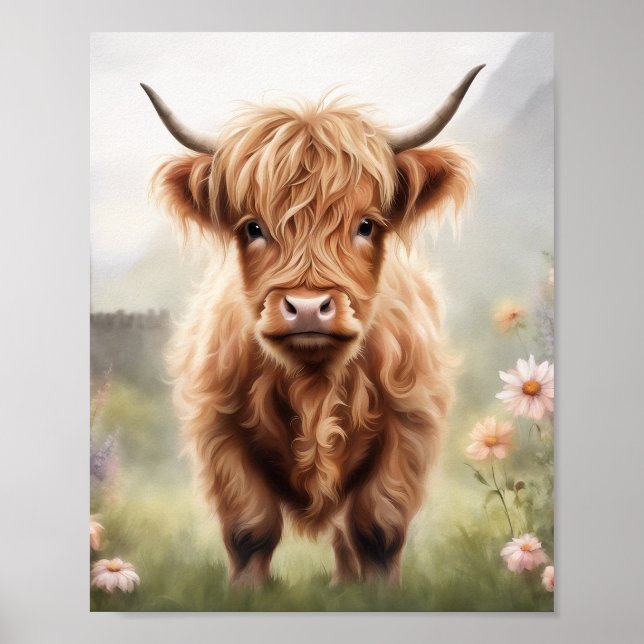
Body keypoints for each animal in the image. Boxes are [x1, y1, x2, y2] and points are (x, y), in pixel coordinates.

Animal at [142, 65, 483, 587]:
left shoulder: (409, 425)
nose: (306, 308)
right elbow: (250, 529)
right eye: (253, 227)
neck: (313, 383)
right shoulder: (219, 428)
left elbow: (377, 527)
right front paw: (245, 593)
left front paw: (382, 595)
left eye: (366, 225)